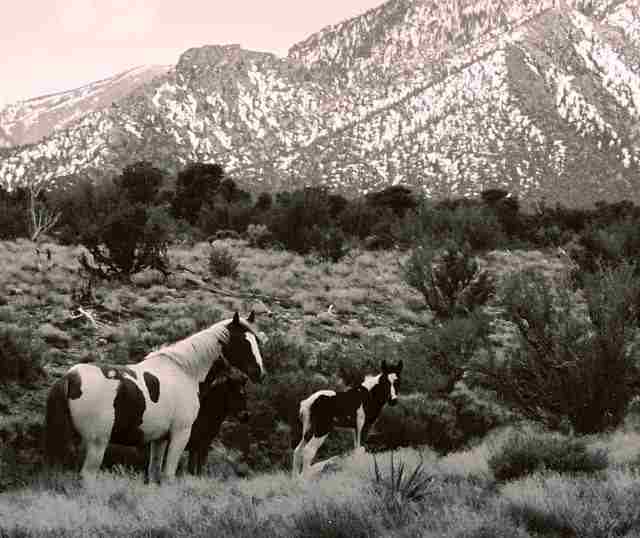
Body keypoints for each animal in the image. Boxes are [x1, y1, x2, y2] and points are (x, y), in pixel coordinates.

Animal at [45, 311, 266, 483]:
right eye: (243, 342)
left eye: (256, 341)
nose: (260, 373)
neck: (185, 372)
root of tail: (70, 377)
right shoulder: (180, 434)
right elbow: (168, 476)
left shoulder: (159, 439)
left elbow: (154, 474)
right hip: (96, 444)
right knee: (87, 477)